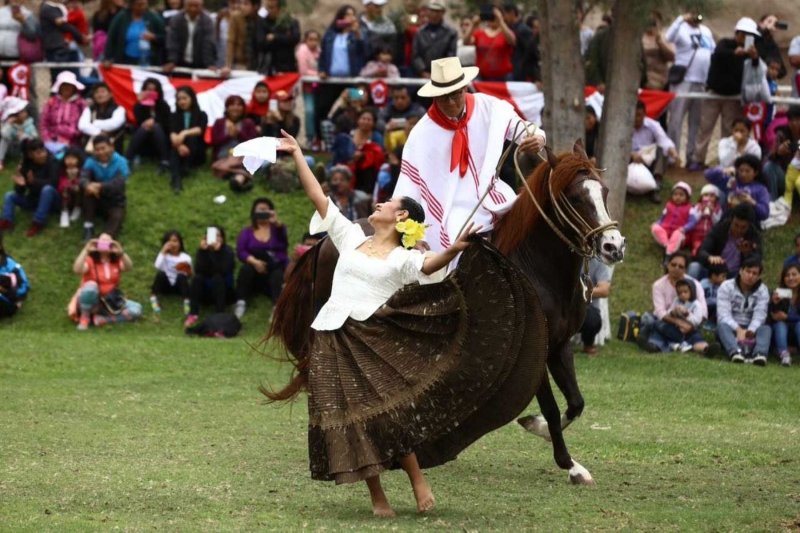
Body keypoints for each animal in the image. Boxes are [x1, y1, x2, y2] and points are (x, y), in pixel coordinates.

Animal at [268, 141, 624, 482]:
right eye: (574, 197)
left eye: (605, 192)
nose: (613, 246)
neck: (537, 270)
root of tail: (327, 241)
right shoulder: (536, 348)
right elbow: (551, 407)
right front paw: (567, 463)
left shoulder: (560, 345)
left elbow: (576, 403)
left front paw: (548, 439)